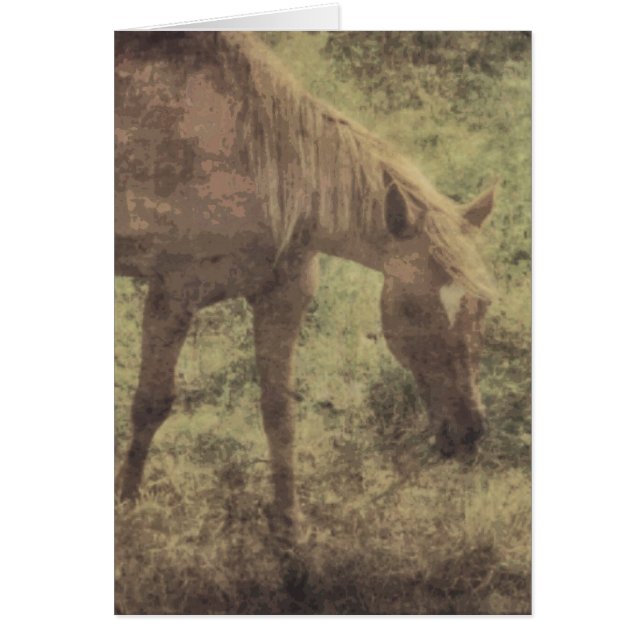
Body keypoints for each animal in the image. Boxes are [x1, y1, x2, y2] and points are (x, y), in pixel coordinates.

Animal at [115, 31, 497, 545]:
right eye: (414, 309)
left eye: (483, 305)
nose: (468, 432)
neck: (255, 165)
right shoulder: (171, 297)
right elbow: (150, 404)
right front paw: (127, 502)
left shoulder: (284, 298)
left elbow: (280, 412)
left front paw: (289, 523)